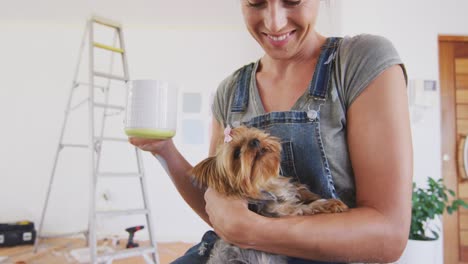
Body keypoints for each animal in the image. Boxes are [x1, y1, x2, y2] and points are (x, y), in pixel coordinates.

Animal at [190, 126, 348, 264]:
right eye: (236, 153)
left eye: (252, 133)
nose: (255, 141)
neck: (265, 182)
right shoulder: (277, 211)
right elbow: (301, 208)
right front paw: (329, 203)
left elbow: (298, 189)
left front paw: (310, 194)